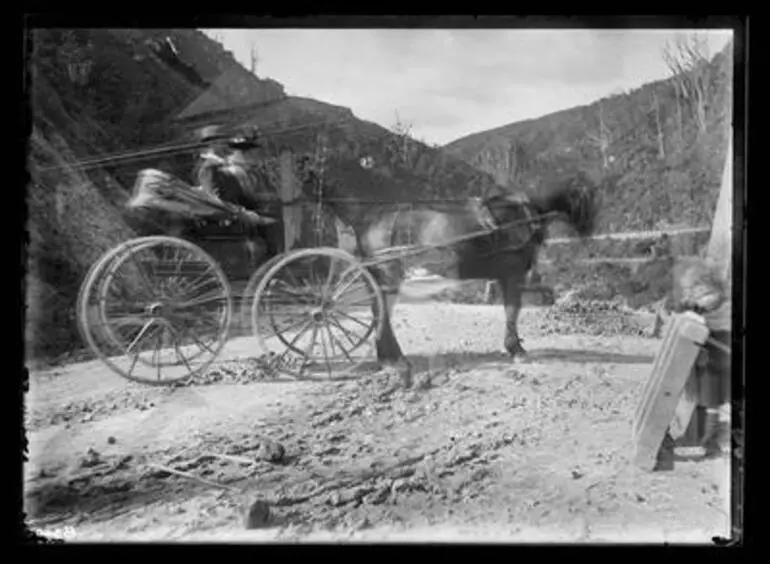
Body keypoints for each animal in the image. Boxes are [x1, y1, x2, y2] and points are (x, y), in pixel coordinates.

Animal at [348, 170, 600, 386]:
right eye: (588, 200)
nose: (589, 232)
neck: (523, 216)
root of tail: (369, 223)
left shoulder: (504, 276)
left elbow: (511, 308)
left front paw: (514, 345)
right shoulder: (513, 274)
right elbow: (513, 309)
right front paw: (515, 349)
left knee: (379, 312)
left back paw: (388, 357)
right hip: (388, 275)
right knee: (382, 313)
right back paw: (395, 359)